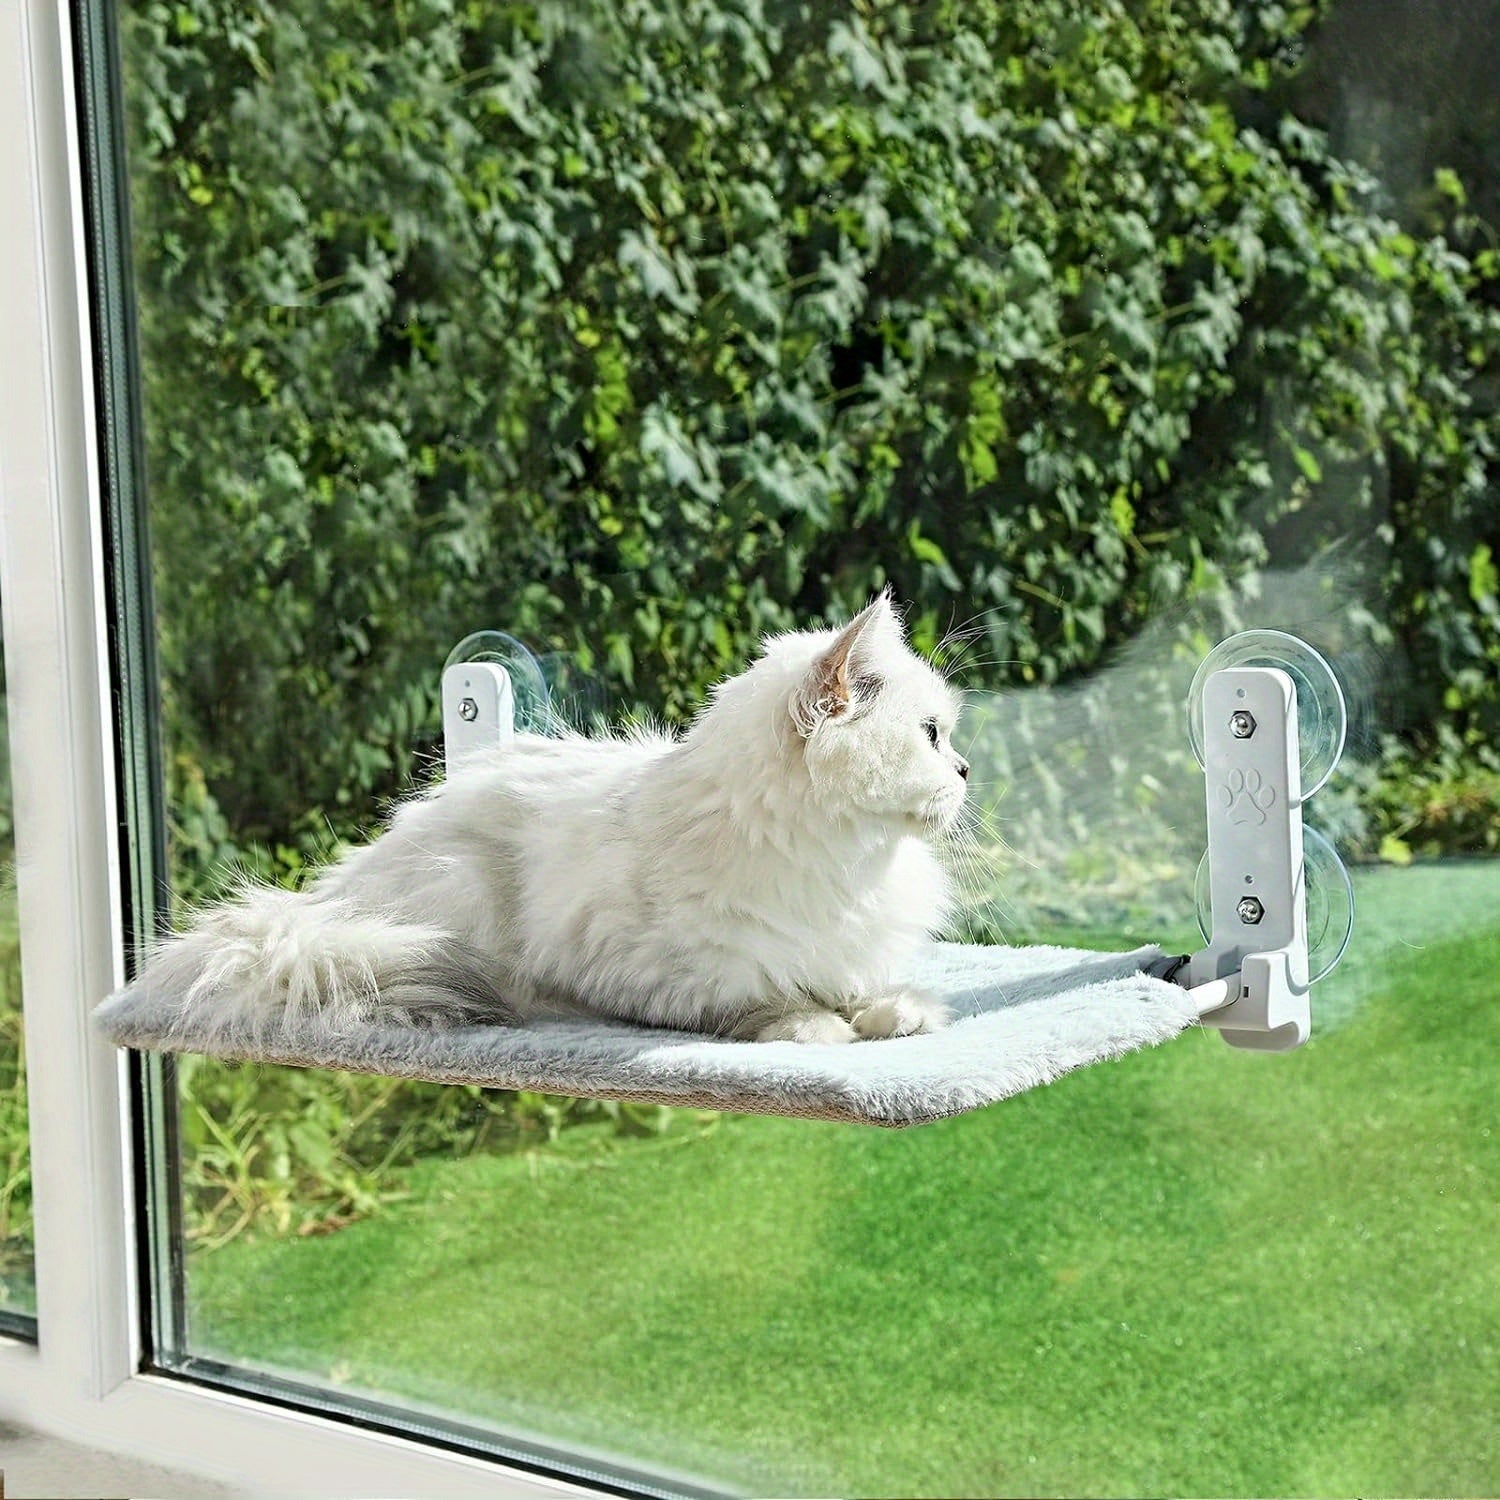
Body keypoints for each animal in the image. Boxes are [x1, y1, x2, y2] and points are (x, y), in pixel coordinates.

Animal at [141, 591, 972, 1050]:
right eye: (932, 735)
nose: (966, 771)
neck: (845, 866)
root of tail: (322, 899)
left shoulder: (852, 945)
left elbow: (863, 983)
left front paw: (896, 1013)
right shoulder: (656, 976)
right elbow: (761, 998)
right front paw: (813, 1025)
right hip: (463, 891)